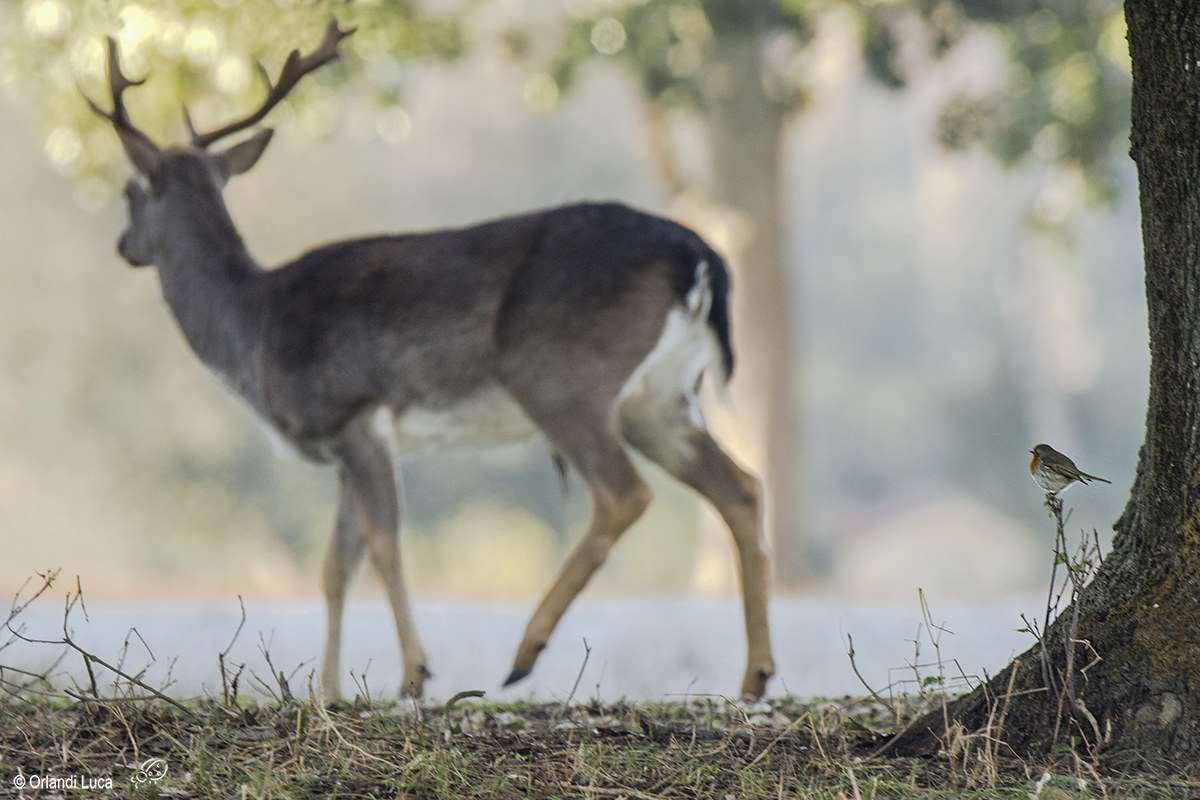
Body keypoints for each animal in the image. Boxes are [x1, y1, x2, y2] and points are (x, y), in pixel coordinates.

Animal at [83, 19, 776, 701]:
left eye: (128, 191)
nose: (122, 246)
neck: (255, 329)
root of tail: (700, 256)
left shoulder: (354, 412)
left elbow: (384, 545)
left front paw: (414, 672)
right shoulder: (341, 447)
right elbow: (335, 565)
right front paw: (328, 693)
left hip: (560, 378)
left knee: (625, 493)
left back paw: (524, 653)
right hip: (660, 396)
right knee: (741, 485)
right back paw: (755, 675)